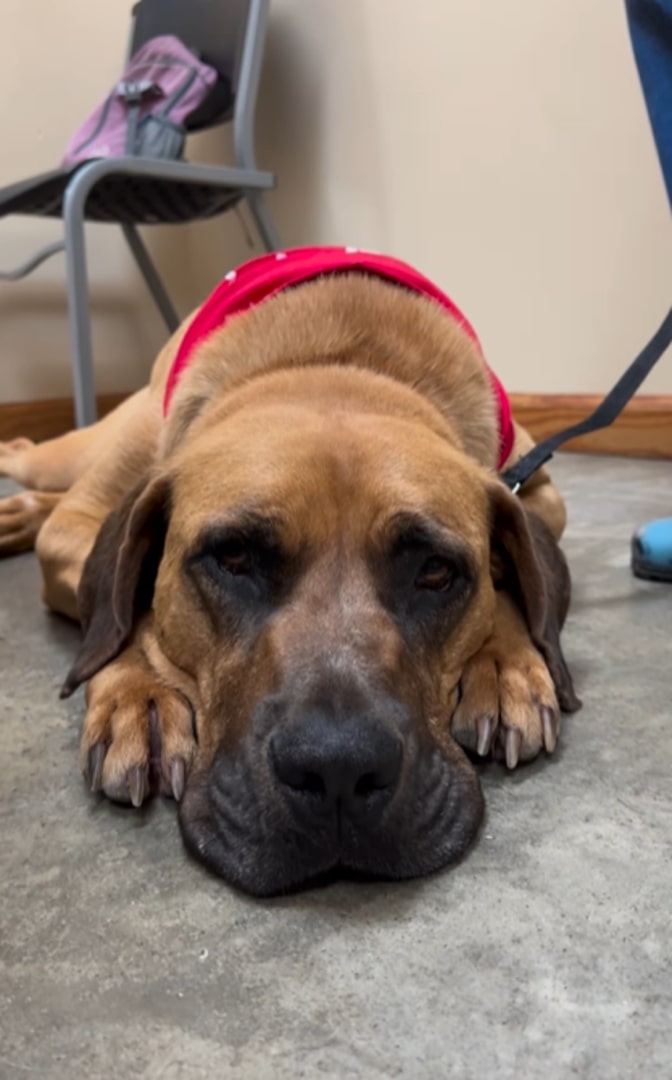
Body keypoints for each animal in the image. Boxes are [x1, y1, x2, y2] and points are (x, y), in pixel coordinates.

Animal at [0, 245, 579, 894]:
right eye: (233, 557)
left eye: (435, 571)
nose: (339, 770)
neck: (335, 366)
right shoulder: (75, 529)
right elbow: (128, 607)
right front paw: (139, 692)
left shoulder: (536, 490)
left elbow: (520, 567)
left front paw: (507, 664)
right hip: (84, 453)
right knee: (33, 461)